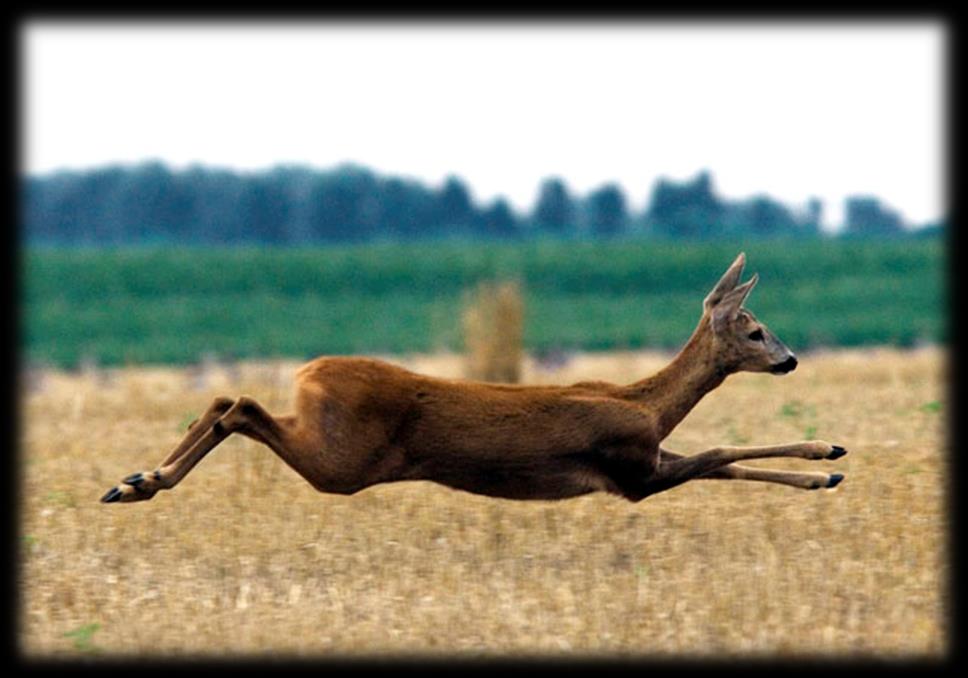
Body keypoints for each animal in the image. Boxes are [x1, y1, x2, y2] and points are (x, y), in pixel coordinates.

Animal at [102, 252, 848, 508]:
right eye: (756, 330)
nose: (790, 360)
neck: (648, 404)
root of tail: (309, 372)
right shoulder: (631, 472)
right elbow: (720, 453)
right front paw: (830, 458)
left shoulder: (648, 460)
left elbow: (722, 460)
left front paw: (830, 463)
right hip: (342, 459)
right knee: (242, 405)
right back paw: (140, 482)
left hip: (331, 444)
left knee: (227, 398)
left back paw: (132, 480)